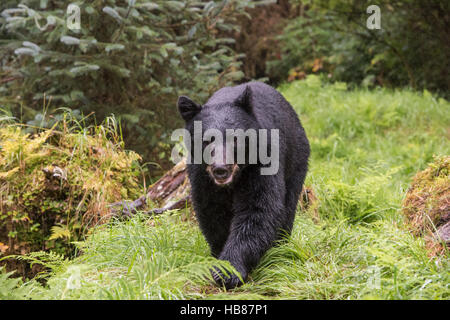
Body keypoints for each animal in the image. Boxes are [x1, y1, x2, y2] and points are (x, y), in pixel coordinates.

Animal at [178, 81, 310, 288]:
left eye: (235, 137)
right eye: (206, 140)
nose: (220, 169)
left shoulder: (262, 162)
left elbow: (258, 209)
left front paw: (228, 270)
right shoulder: (201, 175)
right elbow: (212, 212)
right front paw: (219, 256)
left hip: (296, 158)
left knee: (288, 206)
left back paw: (279, 246)